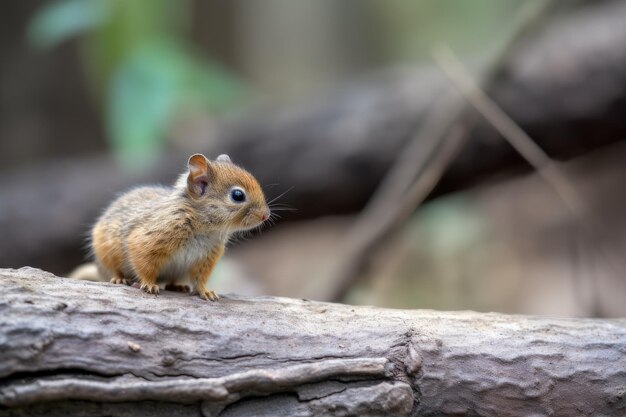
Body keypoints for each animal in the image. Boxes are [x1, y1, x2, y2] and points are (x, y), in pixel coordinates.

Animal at [90, 153, 268, 300]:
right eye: (238, 195)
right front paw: (149, 284)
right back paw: (120, 278)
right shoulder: (146, 241)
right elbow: (145, 267)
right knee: (113, 270)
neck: (205, 228)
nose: (266, 215)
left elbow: (200, 279)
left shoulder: (205, 259)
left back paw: (178, 287)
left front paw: (205, 291)